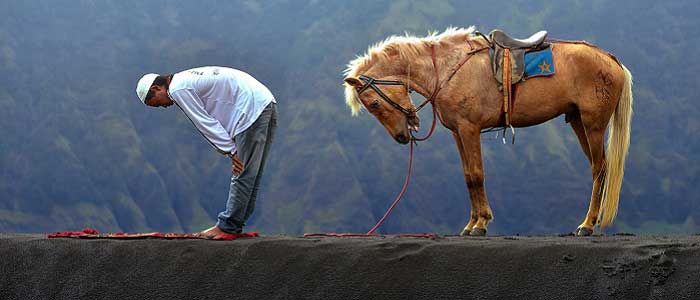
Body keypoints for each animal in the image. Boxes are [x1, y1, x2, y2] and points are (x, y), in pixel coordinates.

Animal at [344, 27, 636, 236]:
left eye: (373, 103)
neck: (447, 69)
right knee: (601, 167)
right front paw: (472, 222)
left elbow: (476, 175)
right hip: (578, 121)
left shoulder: (469, 129)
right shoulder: (458, 132)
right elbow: (467, 176)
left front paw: (481, 224)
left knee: (598, 169)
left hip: (593, 124)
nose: (402, 137)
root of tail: (611, 60)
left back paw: (587, 224)